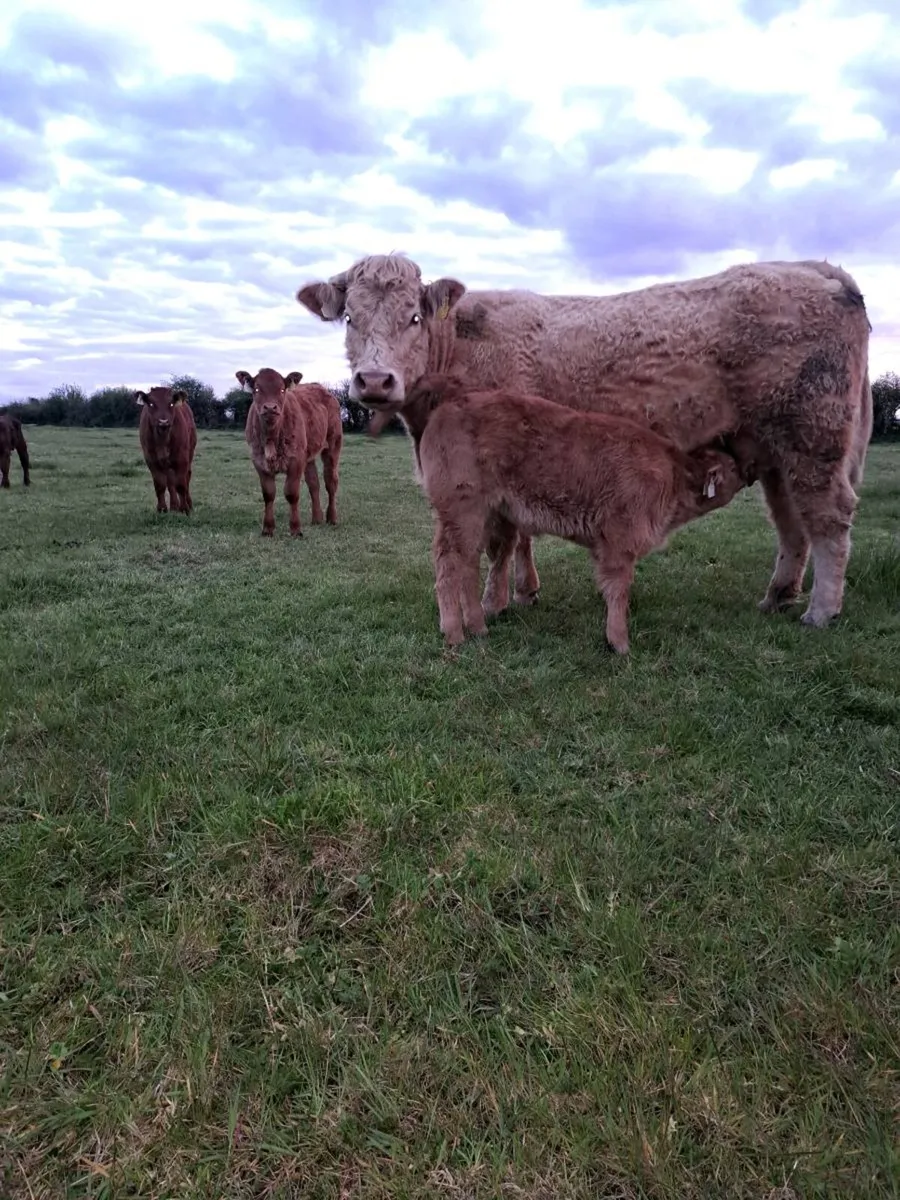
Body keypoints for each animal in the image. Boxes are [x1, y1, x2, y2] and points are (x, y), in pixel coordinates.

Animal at [236, 368, 342, 537]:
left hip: (333, 444)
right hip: (308, 453)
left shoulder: (296, 460)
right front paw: (268, 529)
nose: (270, 408)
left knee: (330, 482)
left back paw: (331, 518)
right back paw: (317, 518)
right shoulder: (259, 461)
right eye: (257, 389)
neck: (271, 438)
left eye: (282, 390)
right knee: (314, 483)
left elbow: (292, 494)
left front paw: (295, 529)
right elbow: (268, 494)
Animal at [364, 372, 750, 652]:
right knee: (448, 562)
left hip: (481, 514)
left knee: (468, 563)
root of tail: (451, 401)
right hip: (461, 510)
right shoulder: (619, 542)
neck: (673, 471)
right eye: (730, 467)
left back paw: (478, 626)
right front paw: (620, 643)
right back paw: (455, 634)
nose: (749, 471)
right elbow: (619, 589)